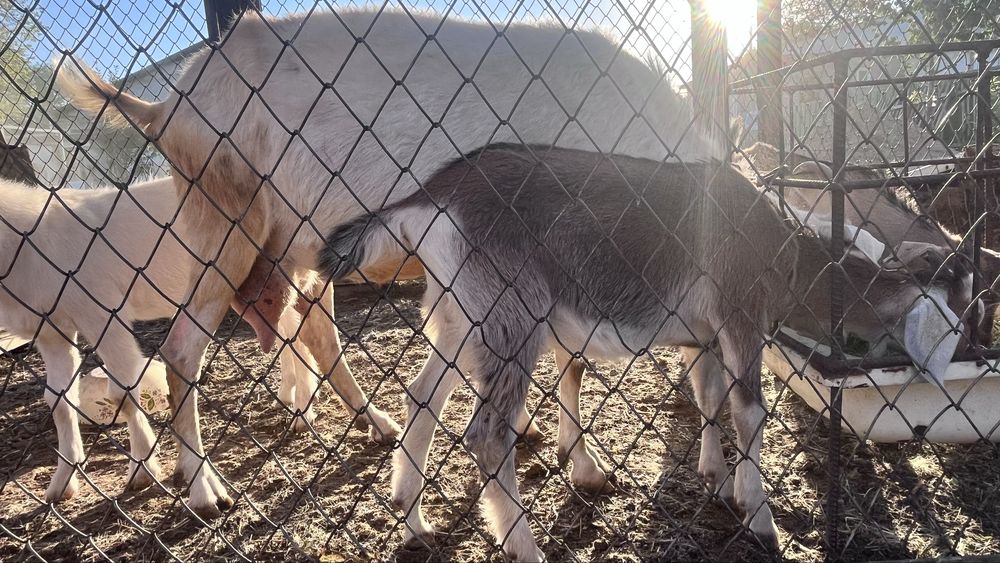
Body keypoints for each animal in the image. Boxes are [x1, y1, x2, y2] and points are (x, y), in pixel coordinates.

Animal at [0, 177, 341, 503]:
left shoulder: (103, 313)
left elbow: (121, 392)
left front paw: (142, 471)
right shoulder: (51, 331)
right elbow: (57, 399)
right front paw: (62, 484)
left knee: (296, 338)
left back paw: (302, 411)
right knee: (289, 338)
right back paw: (290, 396)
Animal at [55, 8, 721, 517]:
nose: (718, 476)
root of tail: (165, 107)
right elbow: (573, 363)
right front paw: (585, 465)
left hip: (295, 251)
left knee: (315, 332)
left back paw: (375, 425)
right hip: (223, 230)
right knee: (181, 352)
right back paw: (204, 490)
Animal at [322, 144, 800, 559]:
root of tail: (429, 198)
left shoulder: (702, 337)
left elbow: (710, 396)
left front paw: (717, 479)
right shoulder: (739, 308)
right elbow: (748, 408)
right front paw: (759, 517)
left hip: (460, 318)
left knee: (422, 396)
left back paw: (413, 519)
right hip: (512, 316)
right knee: (488, 435)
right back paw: (524, 548)